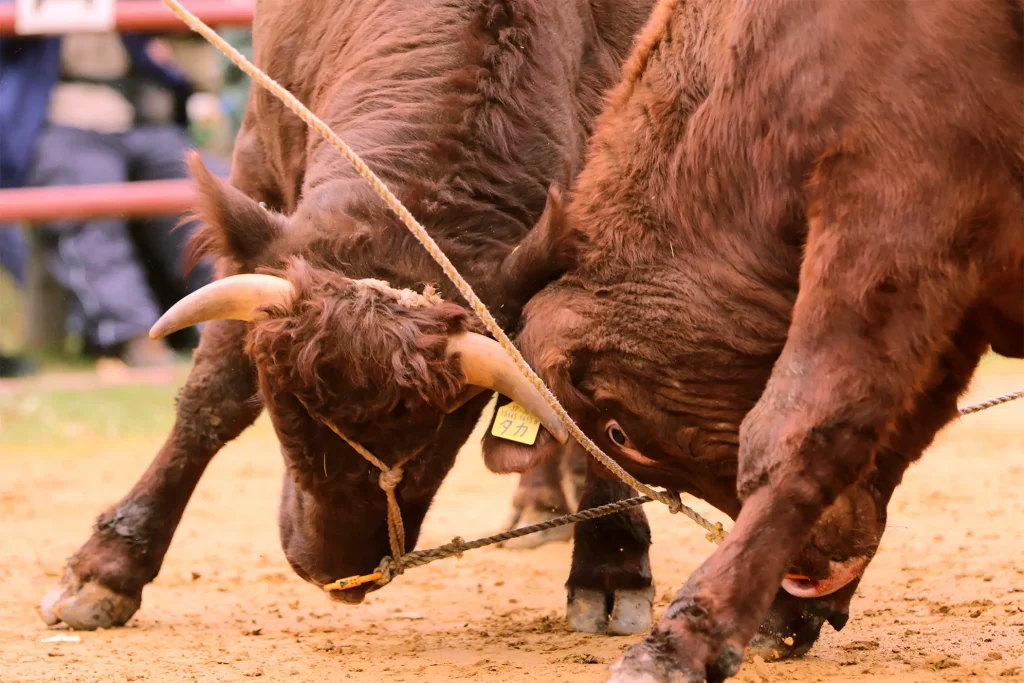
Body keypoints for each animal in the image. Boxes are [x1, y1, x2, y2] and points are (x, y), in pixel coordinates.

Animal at [39, 0, 655, 630]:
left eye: (444, 423)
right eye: (285, 403)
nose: (338, 574)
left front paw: (610, 564)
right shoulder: (259, 168)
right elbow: (213, 398)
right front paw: (108, 566)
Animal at [481, 0, 1024, 679]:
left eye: (618, 432)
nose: (811, 570)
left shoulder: (896, 205)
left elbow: (795, 430)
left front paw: (685, 638)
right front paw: (778, 613)